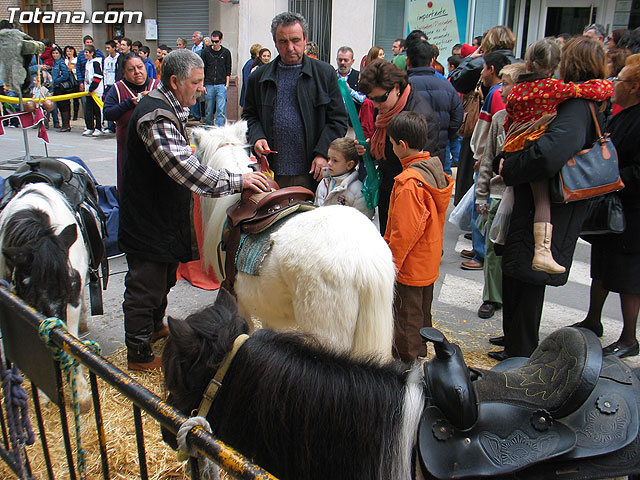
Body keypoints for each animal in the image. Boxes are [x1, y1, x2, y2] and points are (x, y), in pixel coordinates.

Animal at [0, 180, 92, 408]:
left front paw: (82, 394)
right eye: (27, 286)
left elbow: (71, 341)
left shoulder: (72, 301)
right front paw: (43, 394)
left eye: (70, 283)